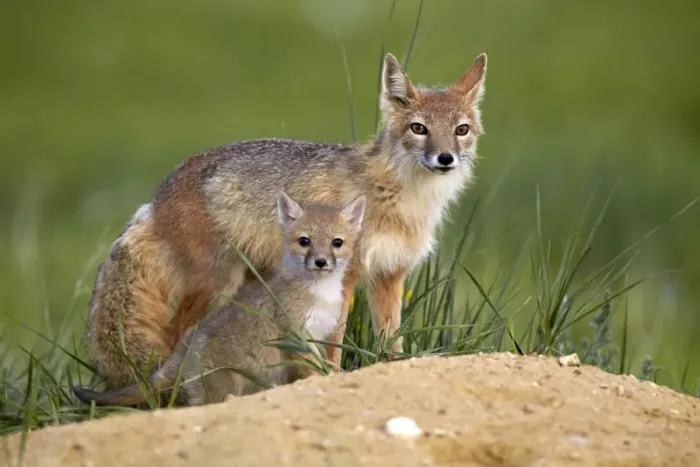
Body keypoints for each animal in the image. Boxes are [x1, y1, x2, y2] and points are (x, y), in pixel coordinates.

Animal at [74, 192, 366, 406]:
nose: (321, 262)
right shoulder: (297, 337)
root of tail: (182, 350)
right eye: (304, 241)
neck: (319, 293)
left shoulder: (321, 335)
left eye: (337, 242)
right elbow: (314, 372)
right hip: (221, 390)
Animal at [85, 51, 488, 389]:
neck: (401, 198)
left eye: (461, 130)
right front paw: (330, 378)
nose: (445, 158)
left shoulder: (390, 275)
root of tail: (156, 196)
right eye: (419, 129)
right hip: (218, 284)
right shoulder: (346, 278)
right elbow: (335, 344)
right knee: (178, 332)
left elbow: (392, 344)